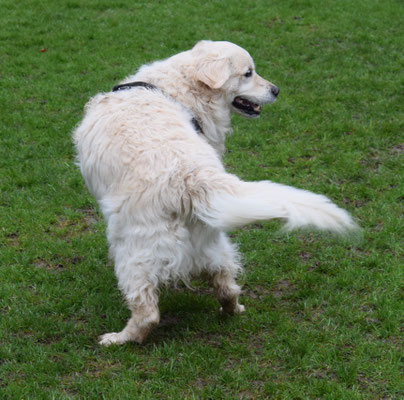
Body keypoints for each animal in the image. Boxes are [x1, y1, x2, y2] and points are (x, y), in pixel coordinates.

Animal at [73, 41, 356, 346]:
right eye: (248, 73)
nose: (277, 90)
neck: (181, 90)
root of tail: (190, 177)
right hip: (214, 244)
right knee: (227, 287)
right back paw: (232, 310)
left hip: (132, 252)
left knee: (147, 312)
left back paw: (119, 338)